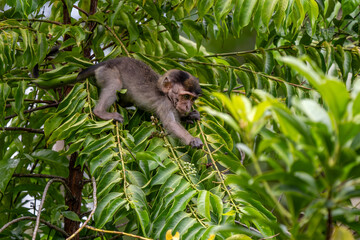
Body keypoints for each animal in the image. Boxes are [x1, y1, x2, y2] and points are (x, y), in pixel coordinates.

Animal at [76, 57, 204, 149]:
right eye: (186, 96)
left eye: (192, 99)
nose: (187, 106)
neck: (166, 95)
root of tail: (107, 62)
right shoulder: (165, 104)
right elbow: (171, 124)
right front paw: (192, 139)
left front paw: (190, 115)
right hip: (107, 72)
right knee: (116, 83)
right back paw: (100, 112)